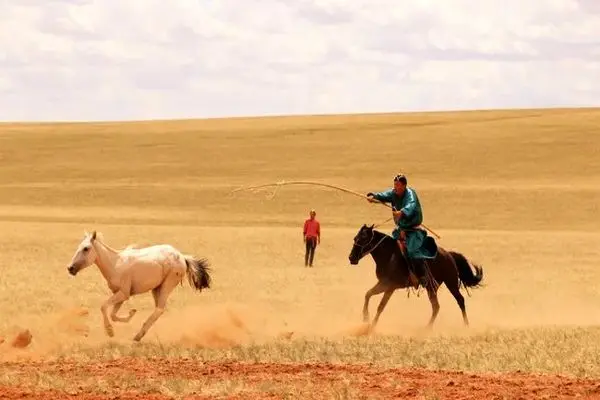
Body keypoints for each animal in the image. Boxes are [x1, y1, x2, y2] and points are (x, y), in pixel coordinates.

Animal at [65, 231, 211, 340]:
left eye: (86, 248)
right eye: (79, 246)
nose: (70, 268)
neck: (115, 264)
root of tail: (182, 257)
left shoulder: (123, 294)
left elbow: (104, 307)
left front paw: (110, 331)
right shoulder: (121, 295)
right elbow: (113, 314)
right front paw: (131, 313)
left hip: (167, 285)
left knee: (159, 309)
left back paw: (138, 336)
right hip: (156, 288)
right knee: (159, 309)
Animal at [346, 223, 482, 330]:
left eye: (363, 238)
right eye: (355, 238)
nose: (351, 258)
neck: (389, 255)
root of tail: (449, 254)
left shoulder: (390, 286)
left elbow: (381, 306)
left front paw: (372, 326)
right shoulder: (383, 283)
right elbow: (368, 294)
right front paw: (366, 317)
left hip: (451, 282)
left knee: (460, 300)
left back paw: (466, 325)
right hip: (432, 287)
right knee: (436, 306)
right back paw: (428, 327)